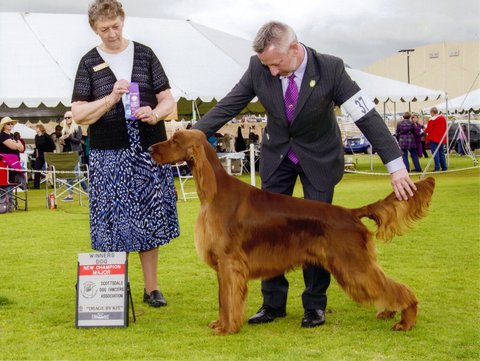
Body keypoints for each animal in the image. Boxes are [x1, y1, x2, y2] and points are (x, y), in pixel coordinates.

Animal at [150, 129, 436, 334]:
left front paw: (227, 328)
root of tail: (350, 212)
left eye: (175, 140)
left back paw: (406, 320)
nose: (151, 148)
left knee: (393, 288)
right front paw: (221, 324)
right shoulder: (224, 265)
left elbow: (228, 299)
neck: (214, 192)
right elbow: (223, 300)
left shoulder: (229, 262)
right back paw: (391, 312)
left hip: (353, 264)